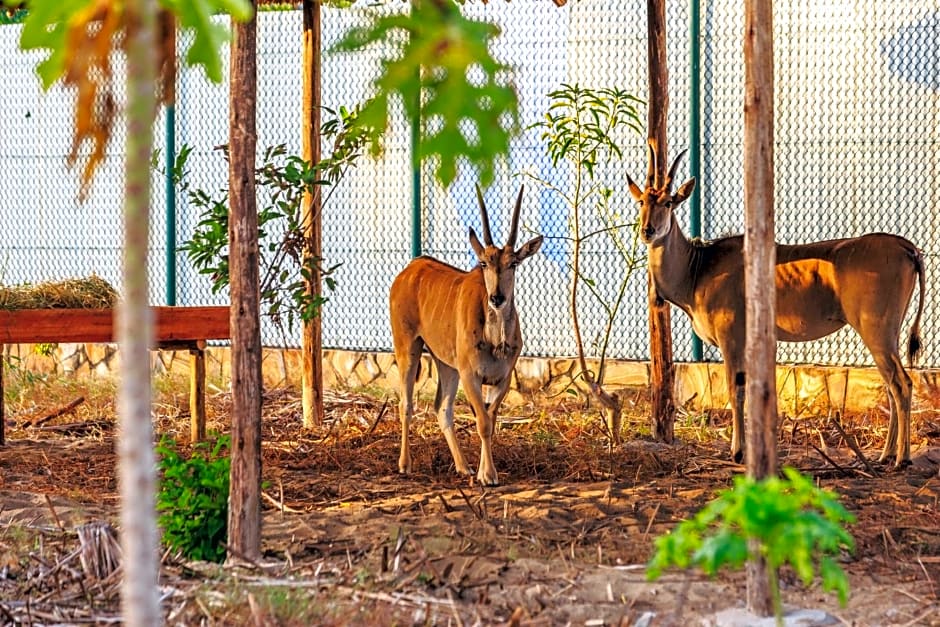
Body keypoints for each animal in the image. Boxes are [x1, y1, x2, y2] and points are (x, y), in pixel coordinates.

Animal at [390, 186, 544, 486]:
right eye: (483, 263)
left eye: (514, 264)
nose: (497, 298)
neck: (496, 340)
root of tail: (409, 270)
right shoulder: (470, 374)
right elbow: (483, 422)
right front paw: (489, 475)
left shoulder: (502, 377)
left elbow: (490, 418)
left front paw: (483, 471)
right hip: (408, 349)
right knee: (406, 403)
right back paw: (404, 464)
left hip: (446, 364)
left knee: (442, 408)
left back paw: (463, 467)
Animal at [632, 142, 924, 466]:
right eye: (642, 201)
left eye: (669, 202)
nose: (647, 230)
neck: (699, 268)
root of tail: (908, 248)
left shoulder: (731, 338)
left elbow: (736, 391)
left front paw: (738, 452)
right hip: (887, 334)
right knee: (891, 385)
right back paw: (886, 455)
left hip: (876, 331)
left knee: (902, 384)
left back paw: (902, 458)